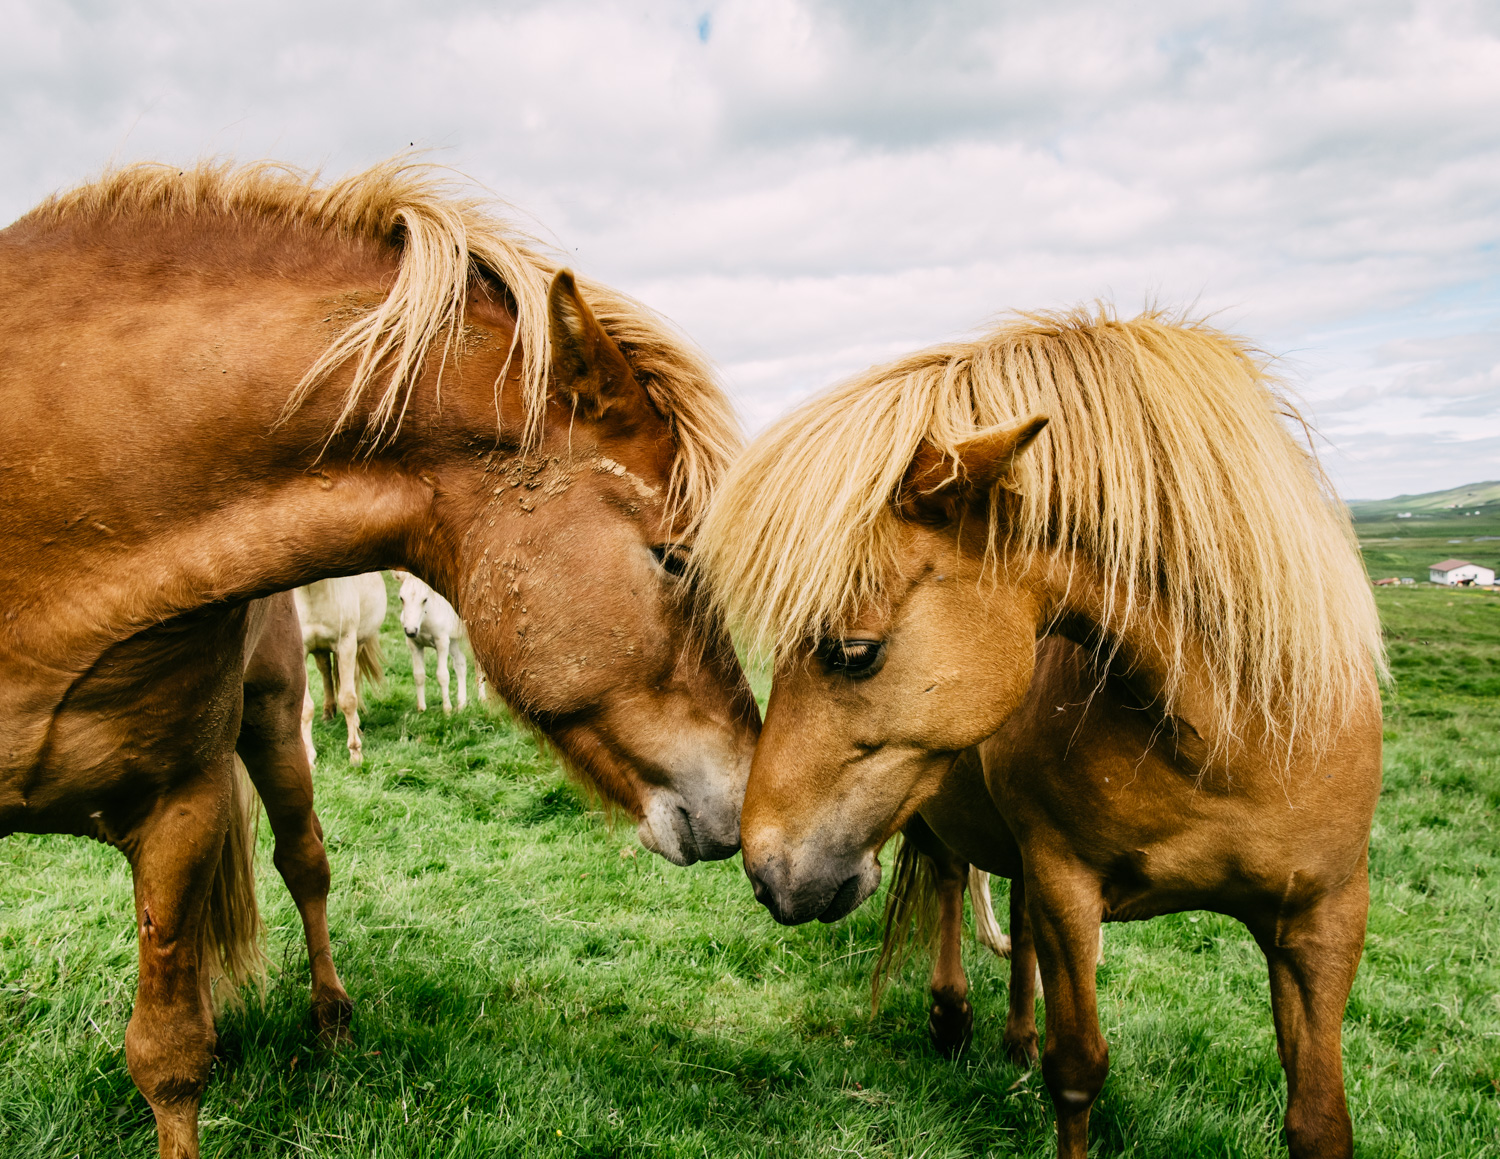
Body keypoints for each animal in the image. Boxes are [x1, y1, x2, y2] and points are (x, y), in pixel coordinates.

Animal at [292, 572, 387, 767]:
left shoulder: (346, 644)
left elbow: (348, 700)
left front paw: (355, 753)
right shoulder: (301, 650)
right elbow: (305, 707)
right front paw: (309, 757)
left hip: (357, 645)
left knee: (354, 679)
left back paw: (357, 727)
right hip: (320, 649)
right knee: (325, 670)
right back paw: (328, 712)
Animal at [393, 572, 486, 713]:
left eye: (425, 599)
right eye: (401, 598)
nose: (411, 631)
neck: (424, 621)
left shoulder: (441, 642)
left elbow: (442, 675)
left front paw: (447, 709)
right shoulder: (414, 644)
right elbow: (418, 675)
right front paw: (421, 709)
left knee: (479, 665)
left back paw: (482, 699)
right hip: (452, 641)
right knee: (460, 663)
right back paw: (462, 704)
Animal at [699, 311, 1380, 1157]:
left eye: (853, 652)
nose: (766, 869)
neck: (1235, 739)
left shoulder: (1324, 917)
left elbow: (1318, 1119)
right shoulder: (1068, 886)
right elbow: (1078, 1068)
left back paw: (1014, 1034)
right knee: (953, 883)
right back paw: (952, 1016)